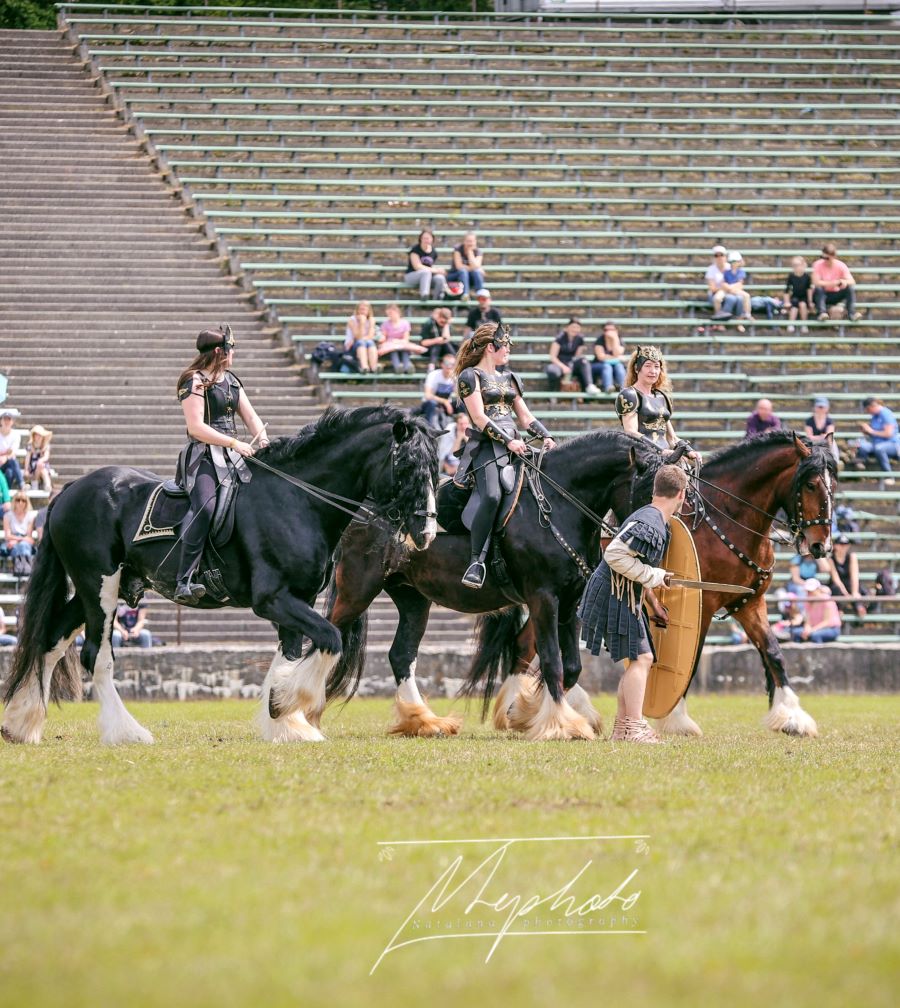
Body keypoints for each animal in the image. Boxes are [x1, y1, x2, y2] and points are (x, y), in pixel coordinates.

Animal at [2, 406, 438, 746]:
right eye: (407, 467)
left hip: (93, 589)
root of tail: (71, 489)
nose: (427, 532)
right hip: (100, 586)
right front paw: (286, 705)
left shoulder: (298, 600)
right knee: (96, 655)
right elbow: (329, 640)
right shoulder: (272, 600)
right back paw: (127, 732)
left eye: (434, 469)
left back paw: (21, 724)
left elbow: (289, 655)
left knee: (51, 642)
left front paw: (284, 721)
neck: (297, 500)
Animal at [323, 428, 655, 740]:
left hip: (413, 598)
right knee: (328, 634)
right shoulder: (543, 598)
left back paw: (425, 721)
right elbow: (552, 662)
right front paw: (559, 725)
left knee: (401, 655)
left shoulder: (570, 600)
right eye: (650, 491)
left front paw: (527, 713)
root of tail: (361, 511)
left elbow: (571, 667)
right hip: (358, 591)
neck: (556, 503)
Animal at [471, 430, 836, 739]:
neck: (725, 519)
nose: (821, 545)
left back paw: (534, 710)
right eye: (811, 485)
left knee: (524, 646)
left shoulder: (748, 603)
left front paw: (792, 717)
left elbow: (773, 653)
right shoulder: (702, 606)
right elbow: (692, 661)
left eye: (835, 483)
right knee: (527, 647)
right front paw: (677, 719)